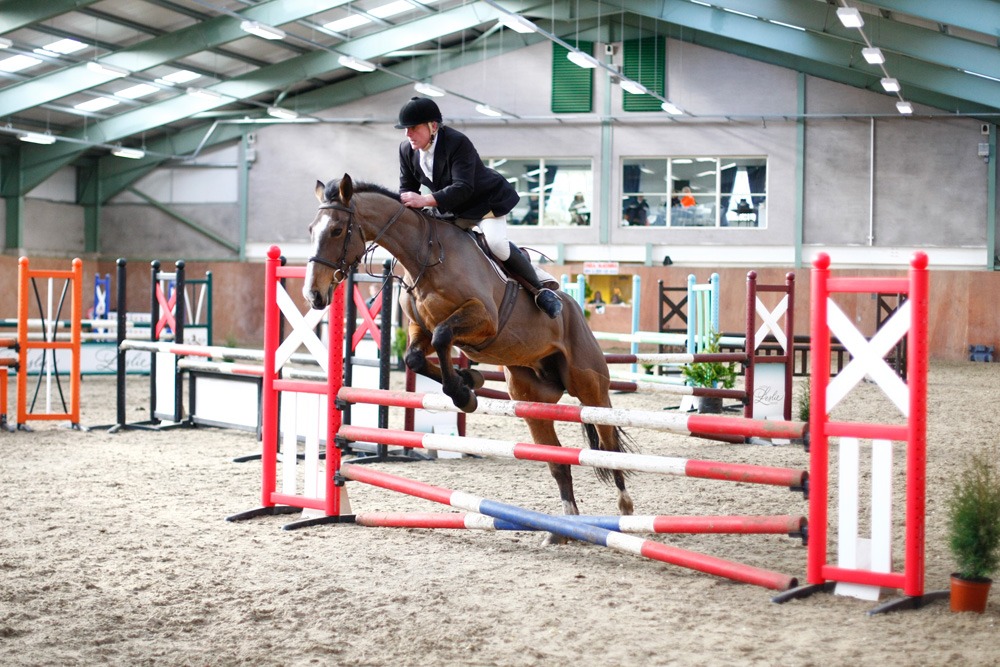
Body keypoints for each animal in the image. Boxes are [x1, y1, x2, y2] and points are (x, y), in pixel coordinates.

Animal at [303, 174, 635, 532]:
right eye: (311, 229)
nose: (314, 295)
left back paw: (625, 509)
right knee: (558, 460)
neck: (424, 255)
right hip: (532, 398)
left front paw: (463, 393)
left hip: (590, 388)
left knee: (609, 445)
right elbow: (416, 357)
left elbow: (444, 336)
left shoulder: (483, 319)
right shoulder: (420, 329)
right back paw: (563, 530)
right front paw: (469, 380)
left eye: (337, 230)